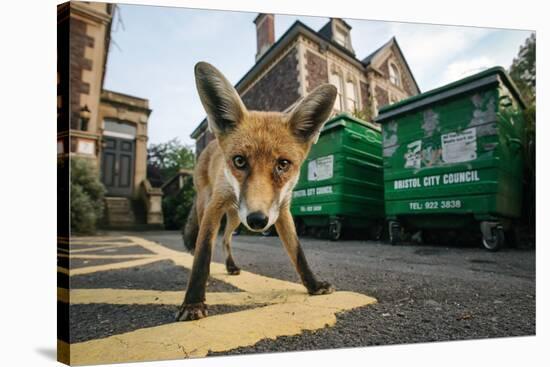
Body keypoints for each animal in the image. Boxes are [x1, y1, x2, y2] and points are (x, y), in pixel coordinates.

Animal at [179, 62, 338, 322]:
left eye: (283, 164)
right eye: (239, 161)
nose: (257, 220)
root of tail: (210, 144)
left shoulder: (281, 209)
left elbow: (297, 252)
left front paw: (313, 286)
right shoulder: (215, 207)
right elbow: (203, 253)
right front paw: (193, 302)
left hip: (235, 217)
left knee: (226, 238)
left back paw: (231, 266)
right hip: (208, 206)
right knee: (208, 240)